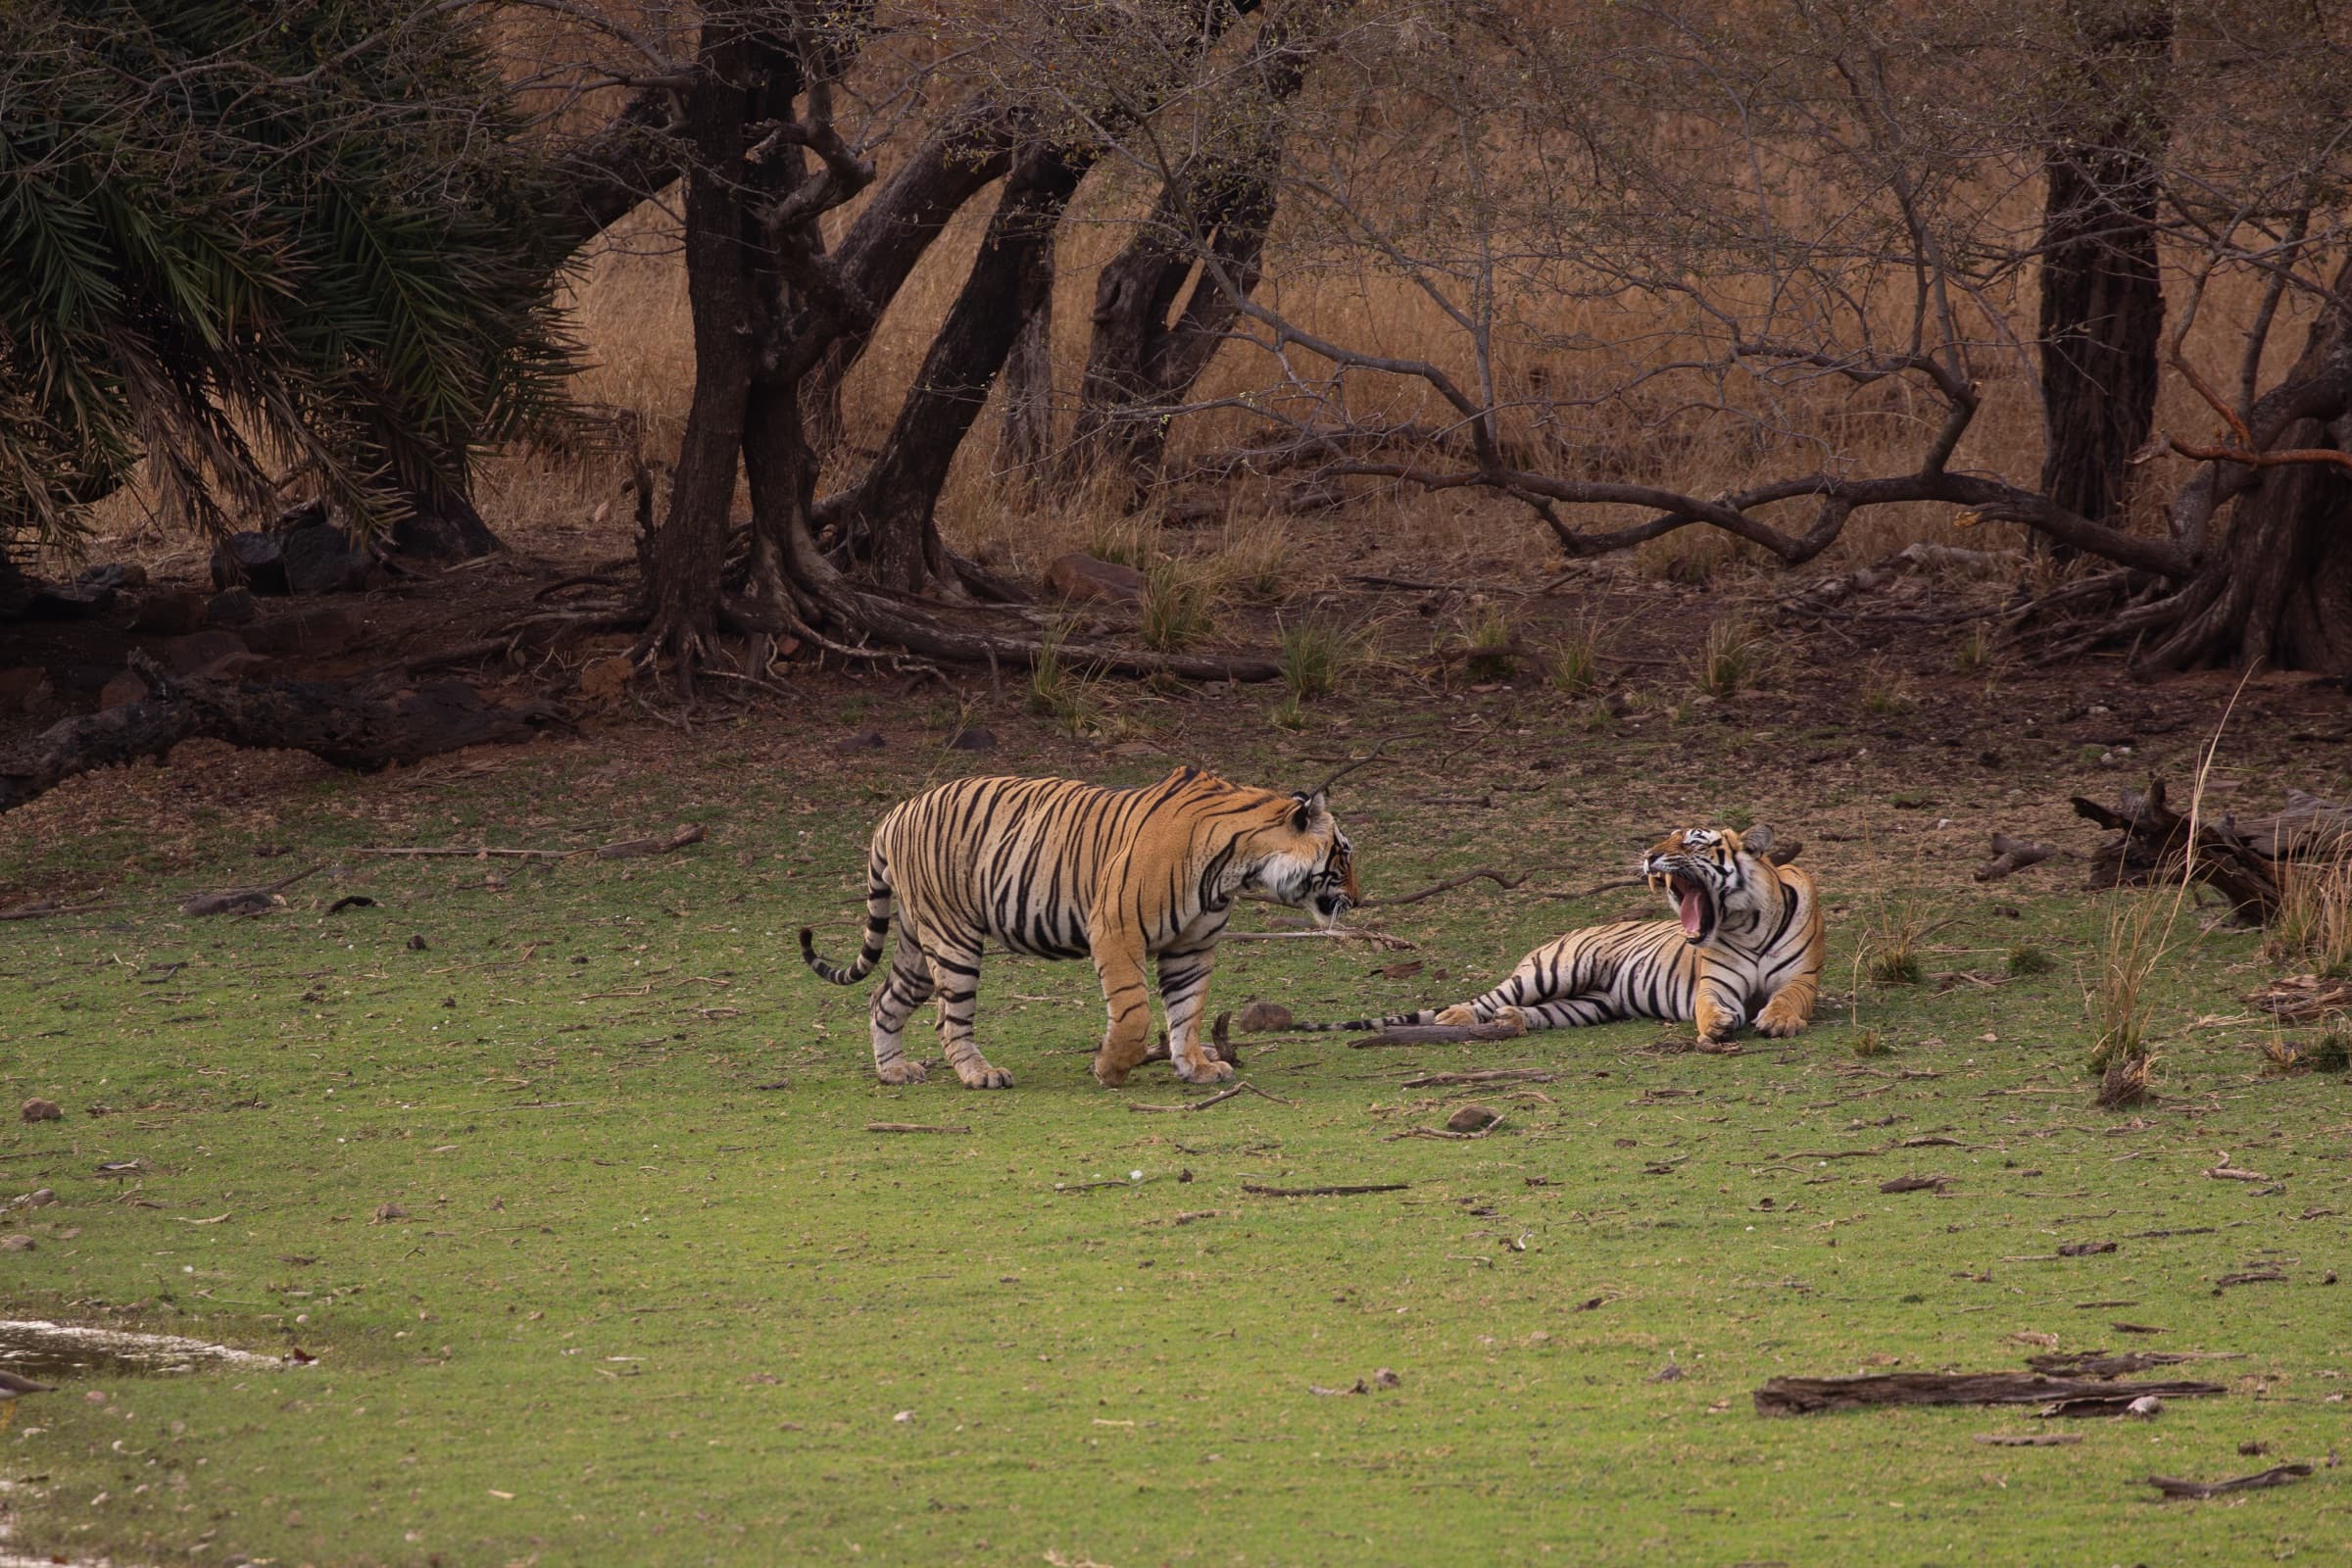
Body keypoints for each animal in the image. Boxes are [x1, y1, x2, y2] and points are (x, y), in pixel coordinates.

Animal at [801, 766, 1359, 1090]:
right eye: (1344, 856)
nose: (1357, 901)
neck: (1238, 866)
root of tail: (895, 812)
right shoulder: (1116, 931)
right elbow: (1134, 1015)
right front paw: (1110, 1069)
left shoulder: (1191, 948)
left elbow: (1187, 1013)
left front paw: (1195, 1066)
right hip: (952, 938)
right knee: (948, 1019)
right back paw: (981, 1075)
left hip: (920, 943)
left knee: (883, 1001)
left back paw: (894, 1070)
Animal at [1295, 825, 1822, 1045]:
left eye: (1692, 841)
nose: (1649, 855)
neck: (1745, 922)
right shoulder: (1714, 985)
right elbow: (1710, 1005)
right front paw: (1716, 1026)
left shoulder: (1802, 979)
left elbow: (1788, 999)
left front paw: (1779, 1021)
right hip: (1554, 971)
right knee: (1481, 1000)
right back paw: (1457, 1016)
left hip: (1589, 1003)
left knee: (1530, 1012)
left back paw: (1511, 1022)